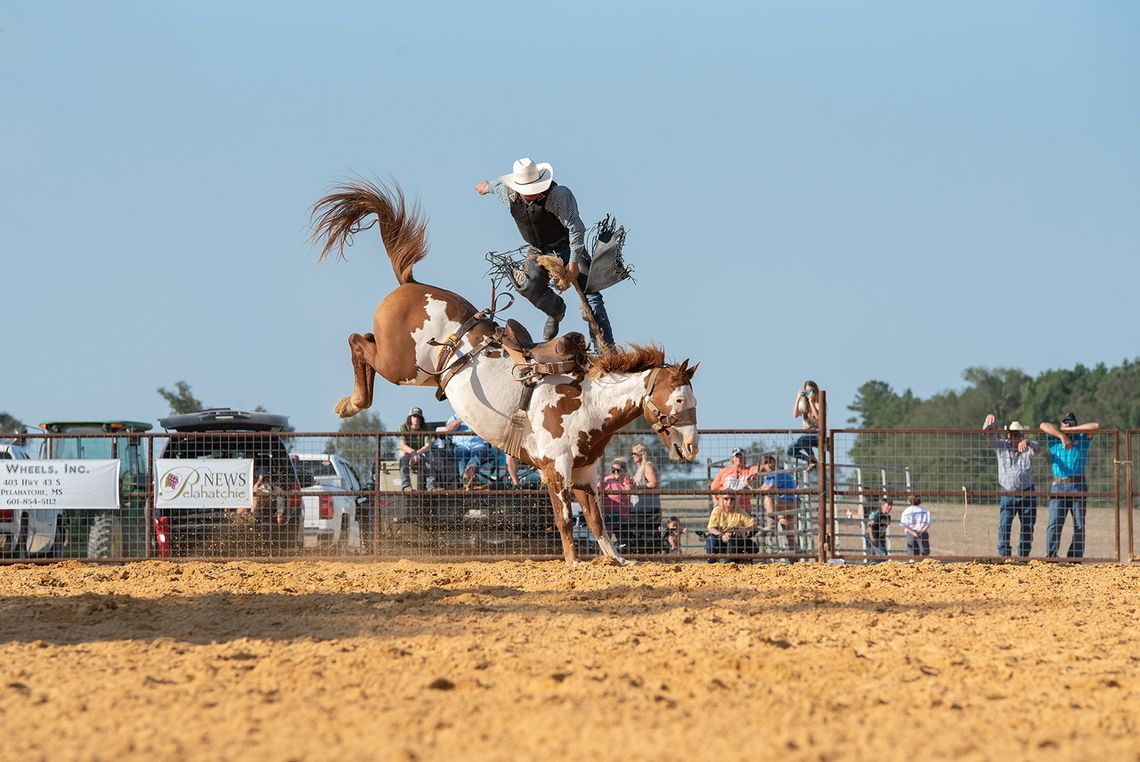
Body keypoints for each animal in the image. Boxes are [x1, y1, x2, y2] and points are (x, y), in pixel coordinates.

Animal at [314, 180, 702, 565]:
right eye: (678, 400)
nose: (693, 446)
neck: (591, 401)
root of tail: (411, 284)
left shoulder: (585, 474)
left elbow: (596, 520)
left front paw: (618, 560)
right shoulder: (556, 468)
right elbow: (565, 518)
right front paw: (574, 561)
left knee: (363, 340)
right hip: (401, 364)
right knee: (357, 342)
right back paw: (350, 403)